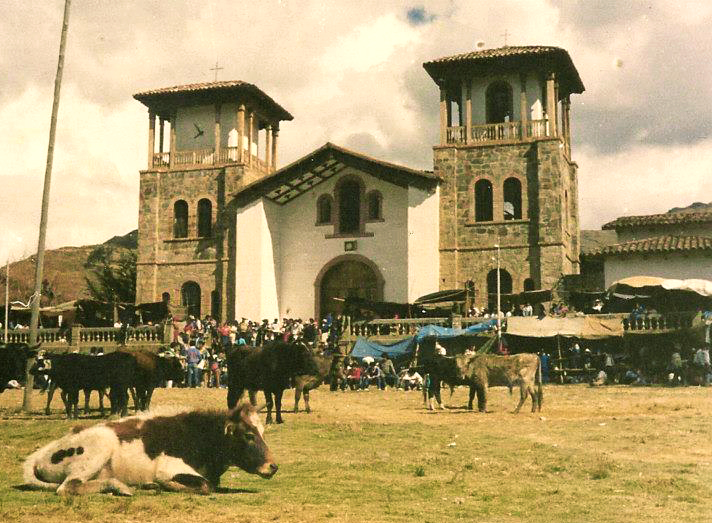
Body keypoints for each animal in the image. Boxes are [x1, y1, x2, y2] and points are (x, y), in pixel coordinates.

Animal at [23, 404, 276, 498]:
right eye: (249, 435)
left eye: (263, 432)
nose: (273, 466)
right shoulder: (169, 468)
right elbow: (205, 486)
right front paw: (162, 485)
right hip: (100, 445)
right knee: (68, 487)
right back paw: (121, 486)